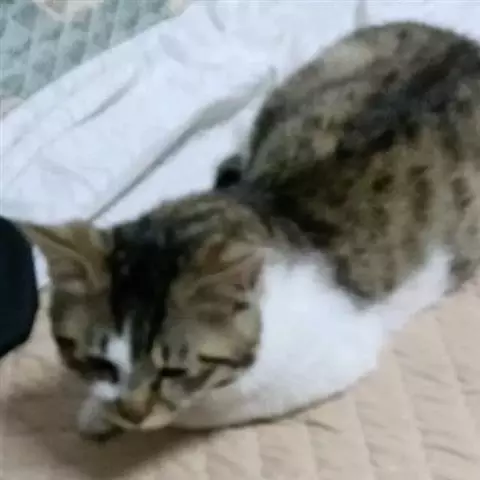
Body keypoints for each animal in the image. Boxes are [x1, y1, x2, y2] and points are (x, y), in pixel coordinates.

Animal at [20, 20, 480, 441]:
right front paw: (99, 408)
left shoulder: (328, 361)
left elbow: (196, 411)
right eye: (98, 362)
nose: (131, 412)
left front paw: (104, 414)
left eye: (175, 370)